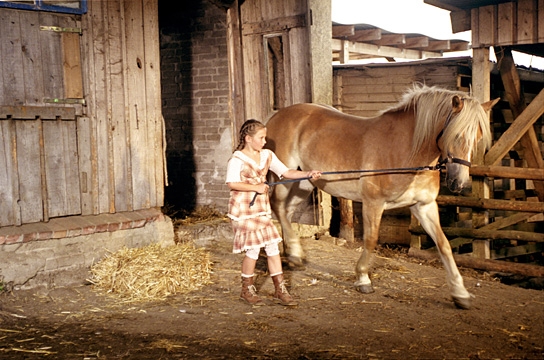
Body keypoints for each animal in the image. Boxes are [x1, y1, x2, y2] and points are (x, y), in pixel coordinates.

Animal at [266, 85, 500, 310]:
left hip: (304, 182)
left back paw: (294, 253)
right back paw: (294, 254)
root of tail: (276, 116)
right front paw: (363, 279)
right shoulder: (373, 204)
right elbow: (371, 240)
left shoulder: (424, 206)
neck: (407, 151)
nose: (459, 184)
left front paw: (460, 294)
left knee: (286, 211)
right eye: (456, 135)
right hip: (284, 178)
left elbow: (444, 245)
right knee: (278, 206)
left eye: (478, 138)